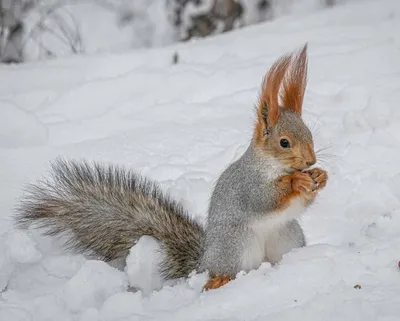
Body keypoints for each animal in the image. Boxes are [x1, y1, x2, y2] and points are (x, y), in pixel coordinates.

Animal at [14, 43, 328, 292]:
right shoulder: (247, 185)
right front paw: (297, 182)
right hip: (236, 245)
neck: (274, 166)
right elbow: (265, 199)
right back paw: (220, 280)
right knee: (223, 272)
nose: (310, 162)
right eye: (284, 142)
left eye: (309, 134)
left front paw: (319, 177)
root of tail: (204, 260)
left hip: (287, 237)